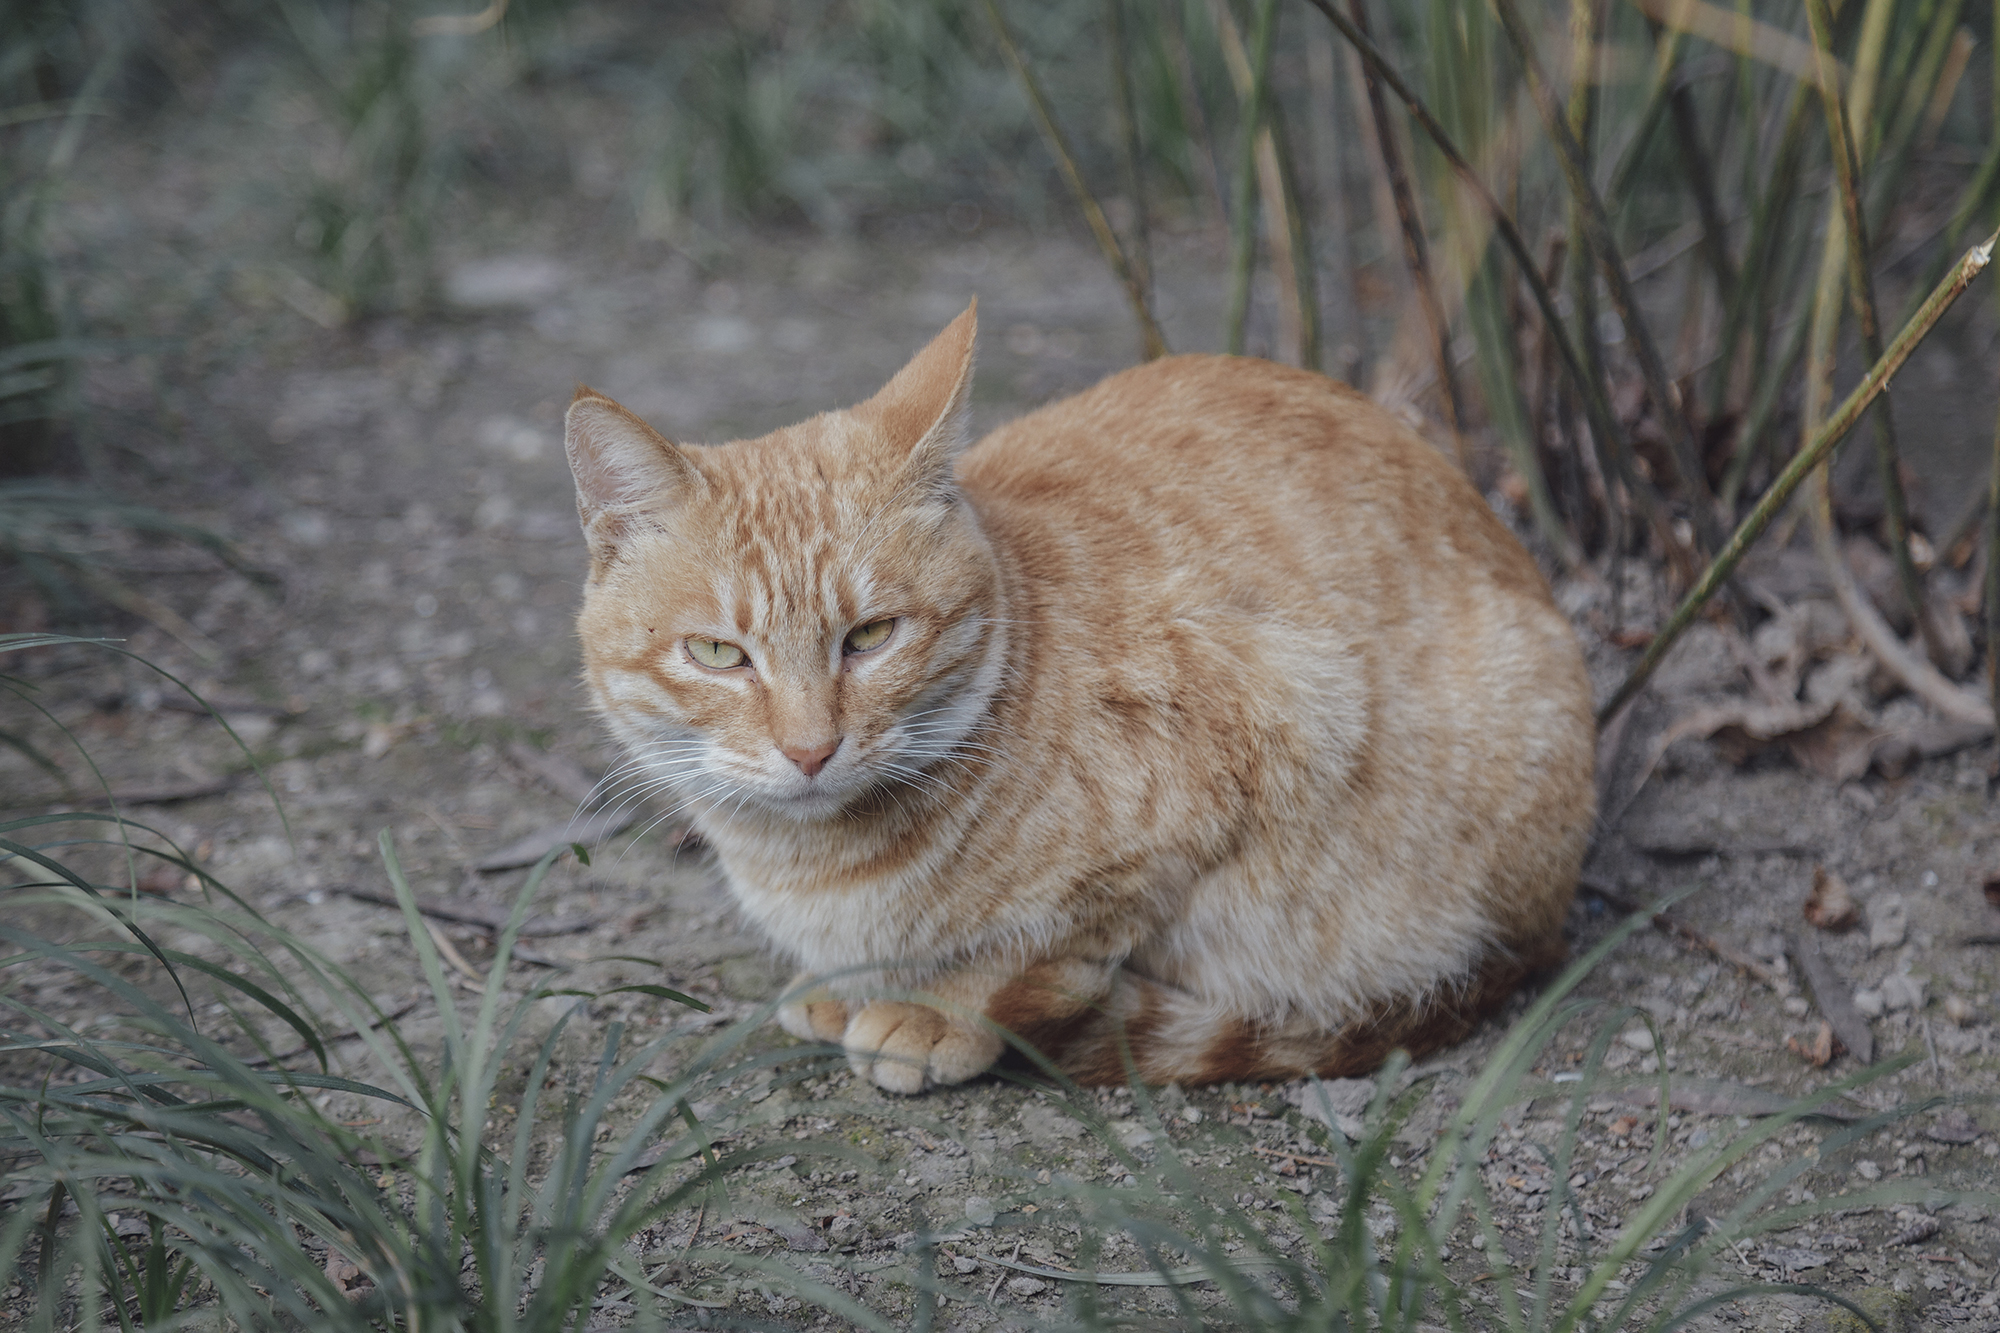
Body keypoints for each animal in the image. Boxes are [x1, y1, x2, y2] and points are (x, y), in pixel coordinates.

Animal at [564, 306, 1592, 1096]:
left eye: (871, 636)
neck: (816, 868)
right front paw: (844, 984)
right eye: (717, 653)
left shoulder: (1263, 733)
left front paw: (935, 1013)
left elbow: (1030, 958)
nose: (811, 749)